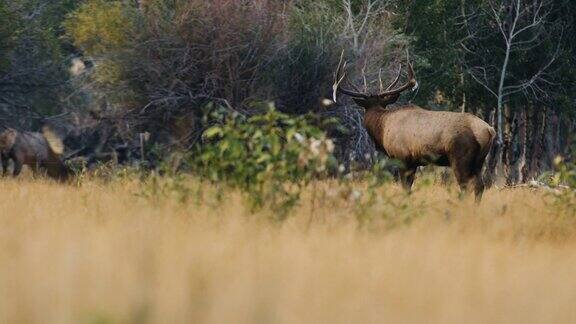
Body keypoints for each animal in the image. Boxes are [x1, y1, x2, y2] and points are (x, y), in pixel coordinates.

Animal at [332, 53, 496, 200]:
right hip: (479, 161)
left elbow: (405, 188)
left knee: (466, 186)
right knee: (480, 186)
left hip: (460, 156)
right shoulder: (413, 162)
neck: (383, 128)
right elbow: (409, 188)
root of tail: (489, 130)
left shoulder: (402, 157)